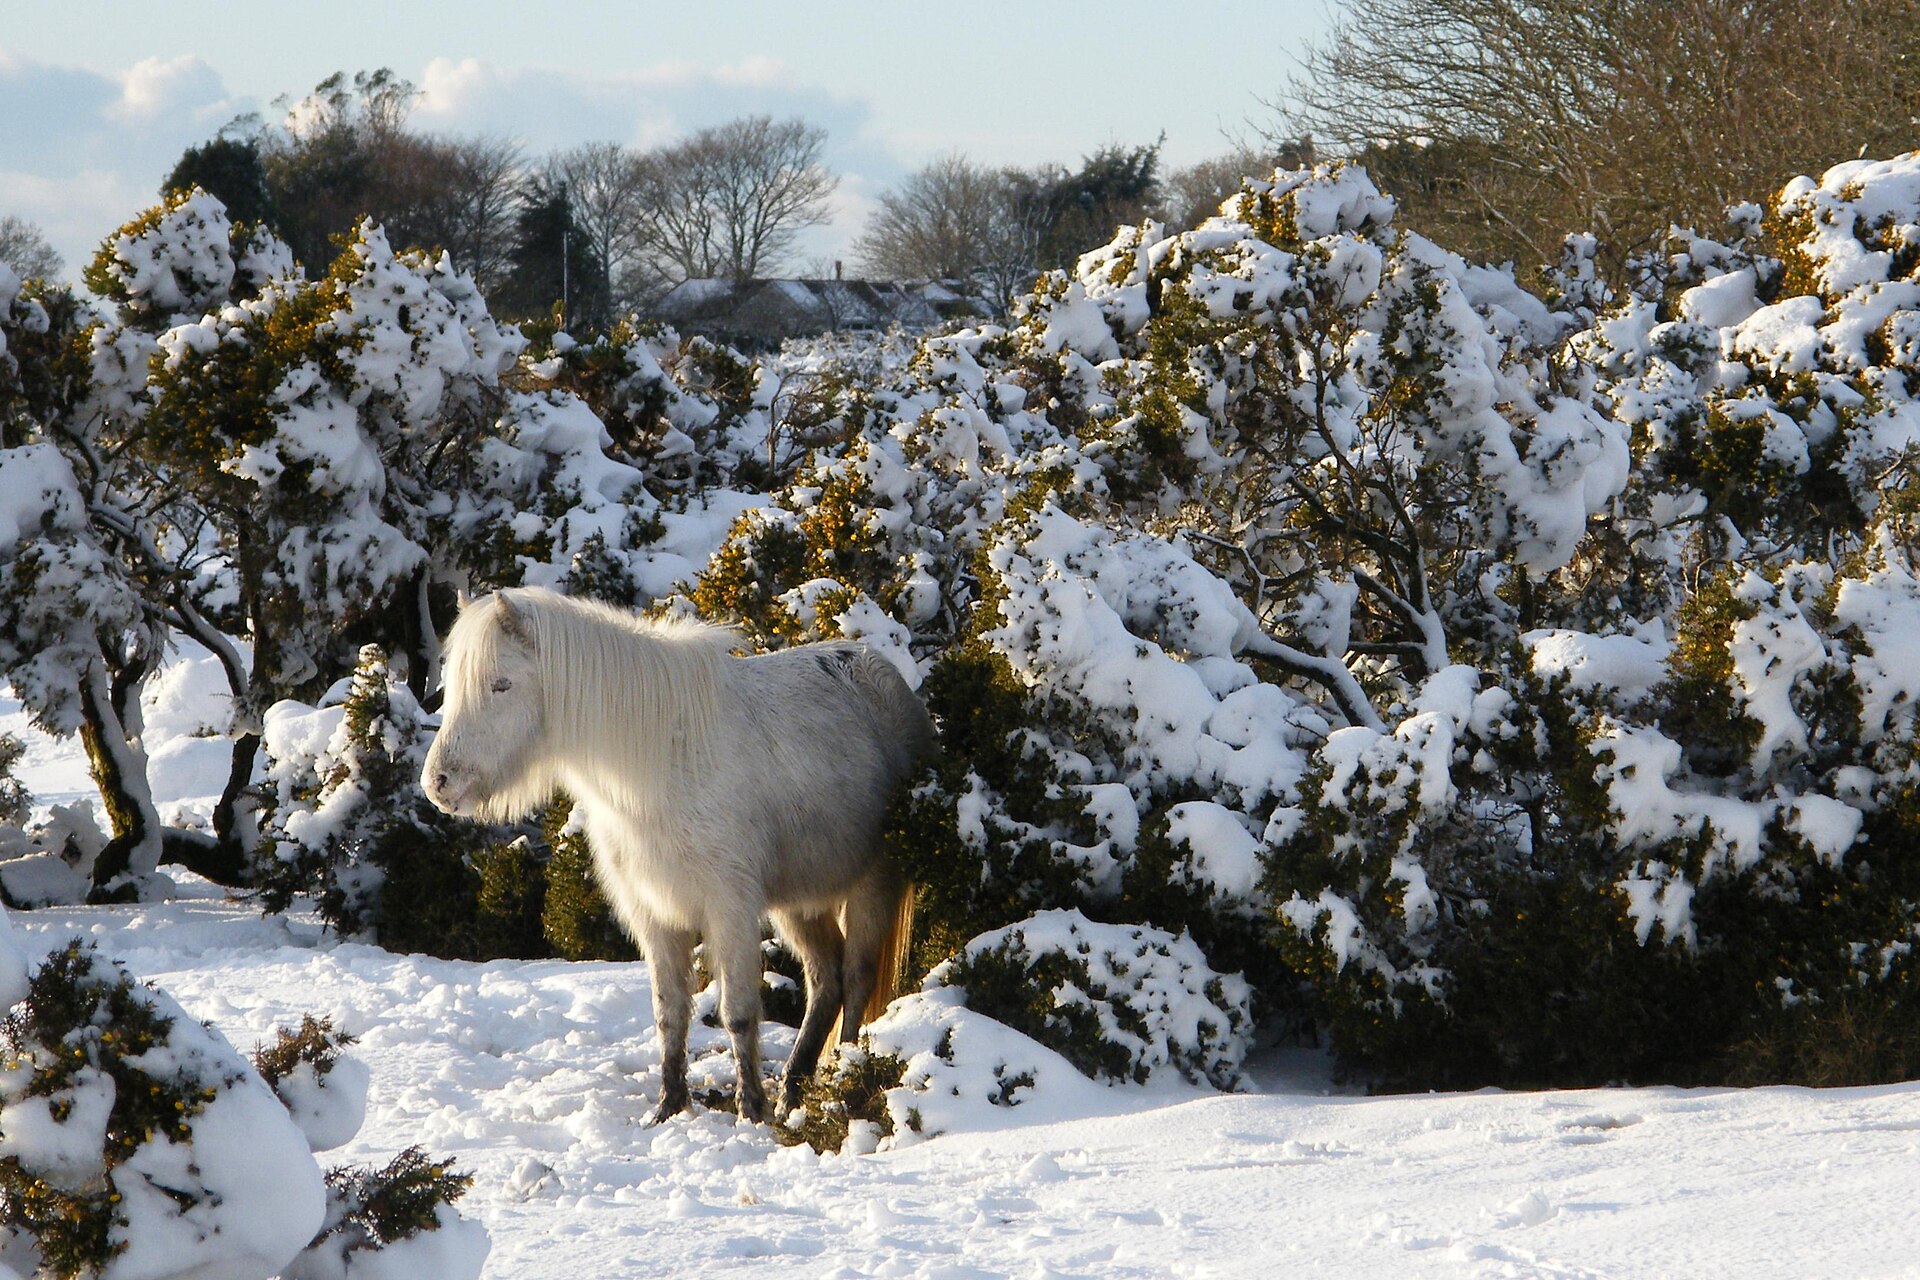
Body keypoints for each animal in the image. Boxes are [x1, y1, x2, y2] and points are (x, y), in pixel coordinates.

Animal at [421, 587, 932, 1123]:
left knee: (855, 980)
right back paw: (794, 1090)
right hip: (800, 901)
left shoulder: (730, 909)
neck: (660, 764)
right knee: (825, 982)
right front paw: (668, 1108)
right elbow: (669, 1013)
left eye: (501, 685)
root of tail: (887, 677)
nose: (438, 783)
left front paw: (750, 1110)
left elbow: (738, 1013)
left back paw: (842, 1081)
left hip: (874, 881)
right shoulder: (653, 913)